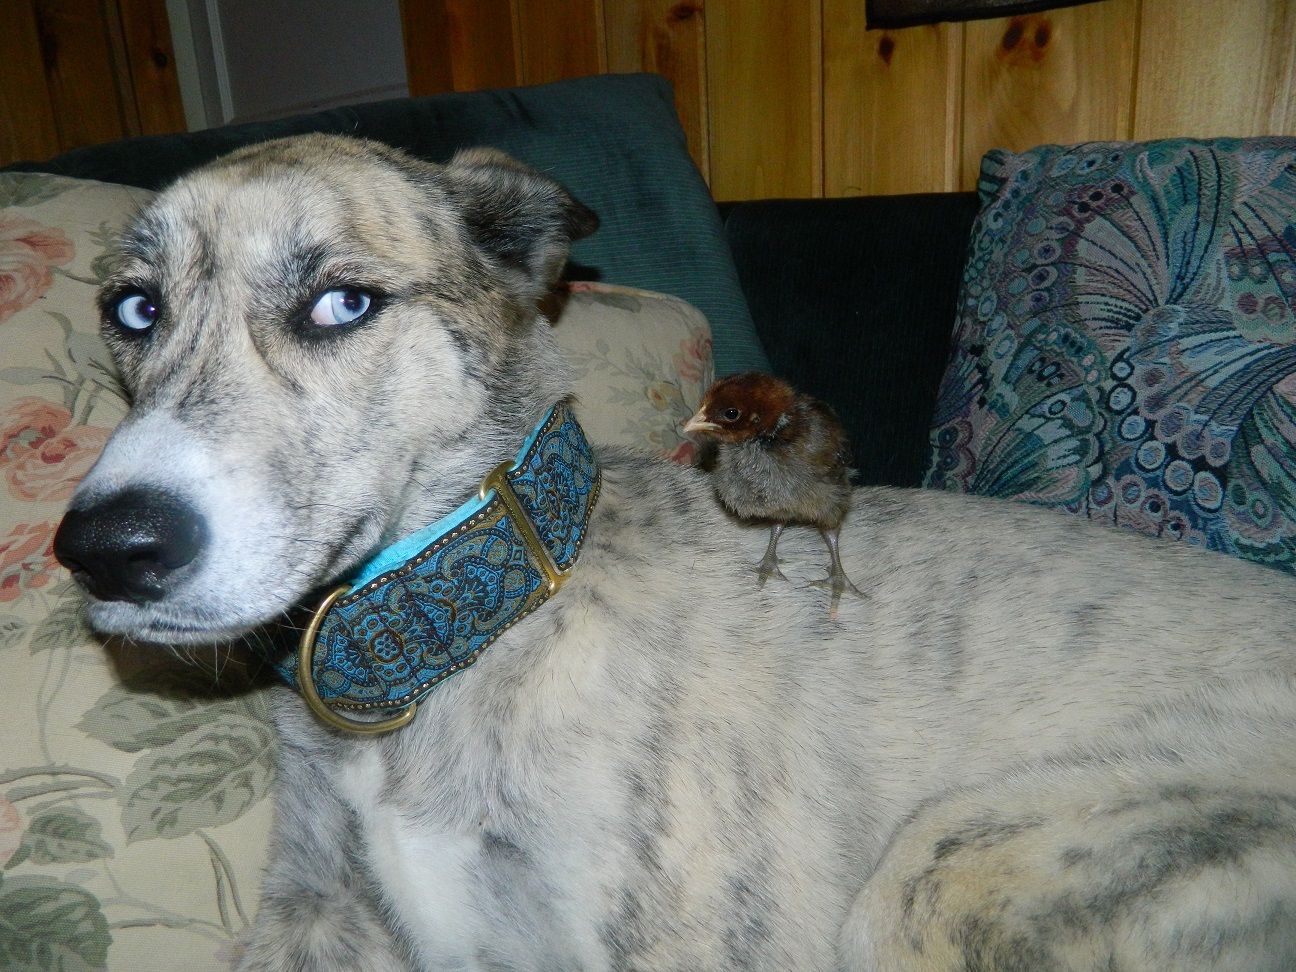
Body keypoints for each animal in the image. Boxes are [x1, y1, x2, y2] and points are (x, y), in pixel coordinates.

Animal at [55, 134, 1296, 971]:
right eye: (132, 309)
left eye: (342, 302)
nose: (107, 549)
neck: (467, 639)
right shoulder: (316, 921)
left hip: (954, 870)